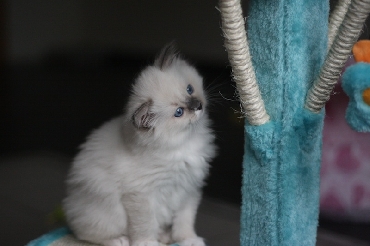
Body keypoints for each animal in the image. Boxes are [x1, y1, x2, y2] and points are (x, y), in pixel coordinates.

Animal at [62, 44, 215, 246]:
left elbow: (184, 221)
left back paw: (164, 236)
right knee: (84, 233)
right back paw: (119, 240)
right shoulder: (141, 196)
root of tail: (69, 204)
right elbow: (145, 226)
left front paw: (188, 240)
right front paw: (148, 243)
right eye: (179, 112)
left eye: (189, 89)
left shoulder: (189, 188)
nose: (198, 106)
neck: (184, 142)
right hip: (111, 212)